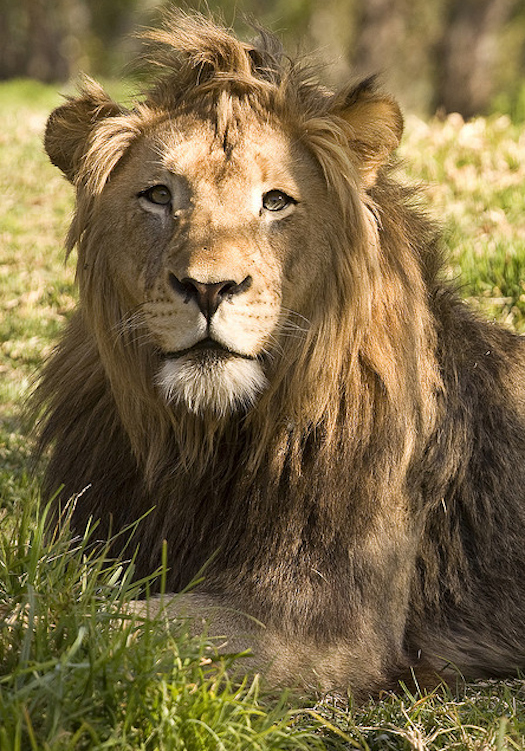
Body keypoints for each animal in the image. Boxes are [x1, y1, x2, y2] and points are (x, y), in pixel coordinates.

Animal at [35, 11, 525, 704]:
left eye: (274, 202)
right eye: (158, 196)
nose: (209, 288)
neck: (204, 441)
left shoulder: (323, 627)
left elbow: (114, 618)